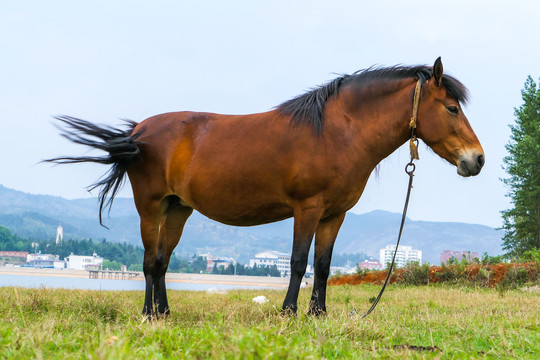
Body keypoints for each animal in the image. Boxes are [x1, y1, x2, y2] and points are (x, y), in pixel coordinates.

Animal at [48, 57, 484, 316]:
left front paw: (318, 314)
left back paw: (164, 313)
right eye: (451, 108)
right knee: (149, 262)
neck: (336, 133)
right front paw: (288, 312)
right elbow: (298, 263)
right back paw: (147, 314)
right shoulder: (307, 209)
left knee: (162, 261)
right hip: (150, 207)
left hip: (177, 210)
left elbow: (323, 266)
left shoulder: (334, 215)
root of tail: (139, 131)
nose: (476, 160)